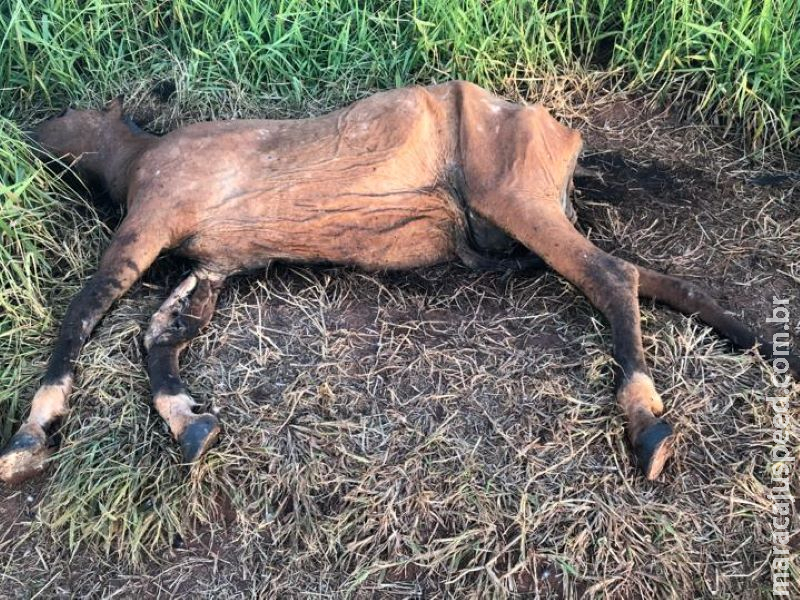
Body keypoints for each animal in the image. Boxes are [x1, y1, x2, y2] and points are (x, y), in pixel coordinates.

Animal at [1, 81, 800, 482]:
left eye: (64, 110)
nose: (23, 134)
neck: (138, 157)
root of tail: (564, 133)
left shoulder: (149, 221)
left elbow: (84, 313)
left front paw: (29, 435)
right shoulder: (213, 266)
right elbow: (159, 336)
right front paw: (190, 422)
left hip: (514, 200)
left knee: (610, 277)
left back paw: (648, 423)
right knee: (642, 277)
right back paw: (756, 342)